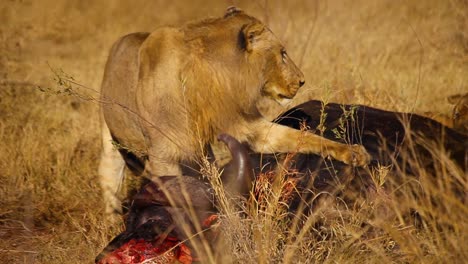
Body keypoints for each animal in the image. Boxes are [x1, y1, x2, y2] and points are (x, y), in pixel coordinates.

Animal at [98, 7, 370, 216]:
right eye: (282, 54)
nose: (302, 81)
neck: (214, 78)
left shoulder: (246, 125)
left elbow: (301, 138)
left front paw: (353, 152)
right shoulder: (163, 155)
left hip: (202, 151)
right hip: (112, 145)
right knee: (110, 181)